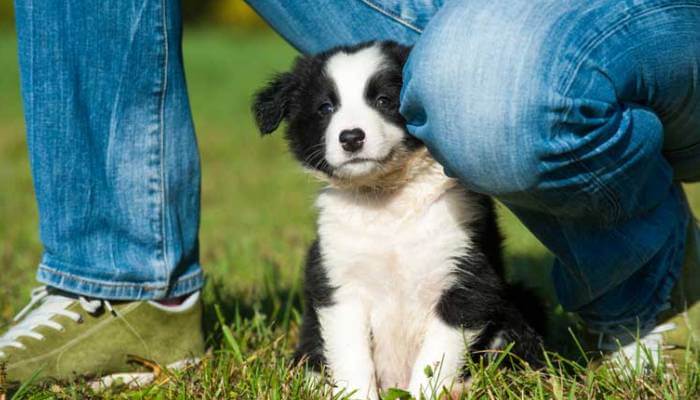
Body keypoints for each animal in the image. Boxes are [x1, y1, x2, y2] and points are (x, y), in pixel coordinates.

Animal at [252, 41, 540, 400]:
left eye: (384, 101)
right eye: (325, 108)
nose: (351, 137)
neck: (388, 203)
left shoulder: (467, 277)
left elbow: (437, 357)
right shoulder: (338, 282)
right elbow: (351, 356)